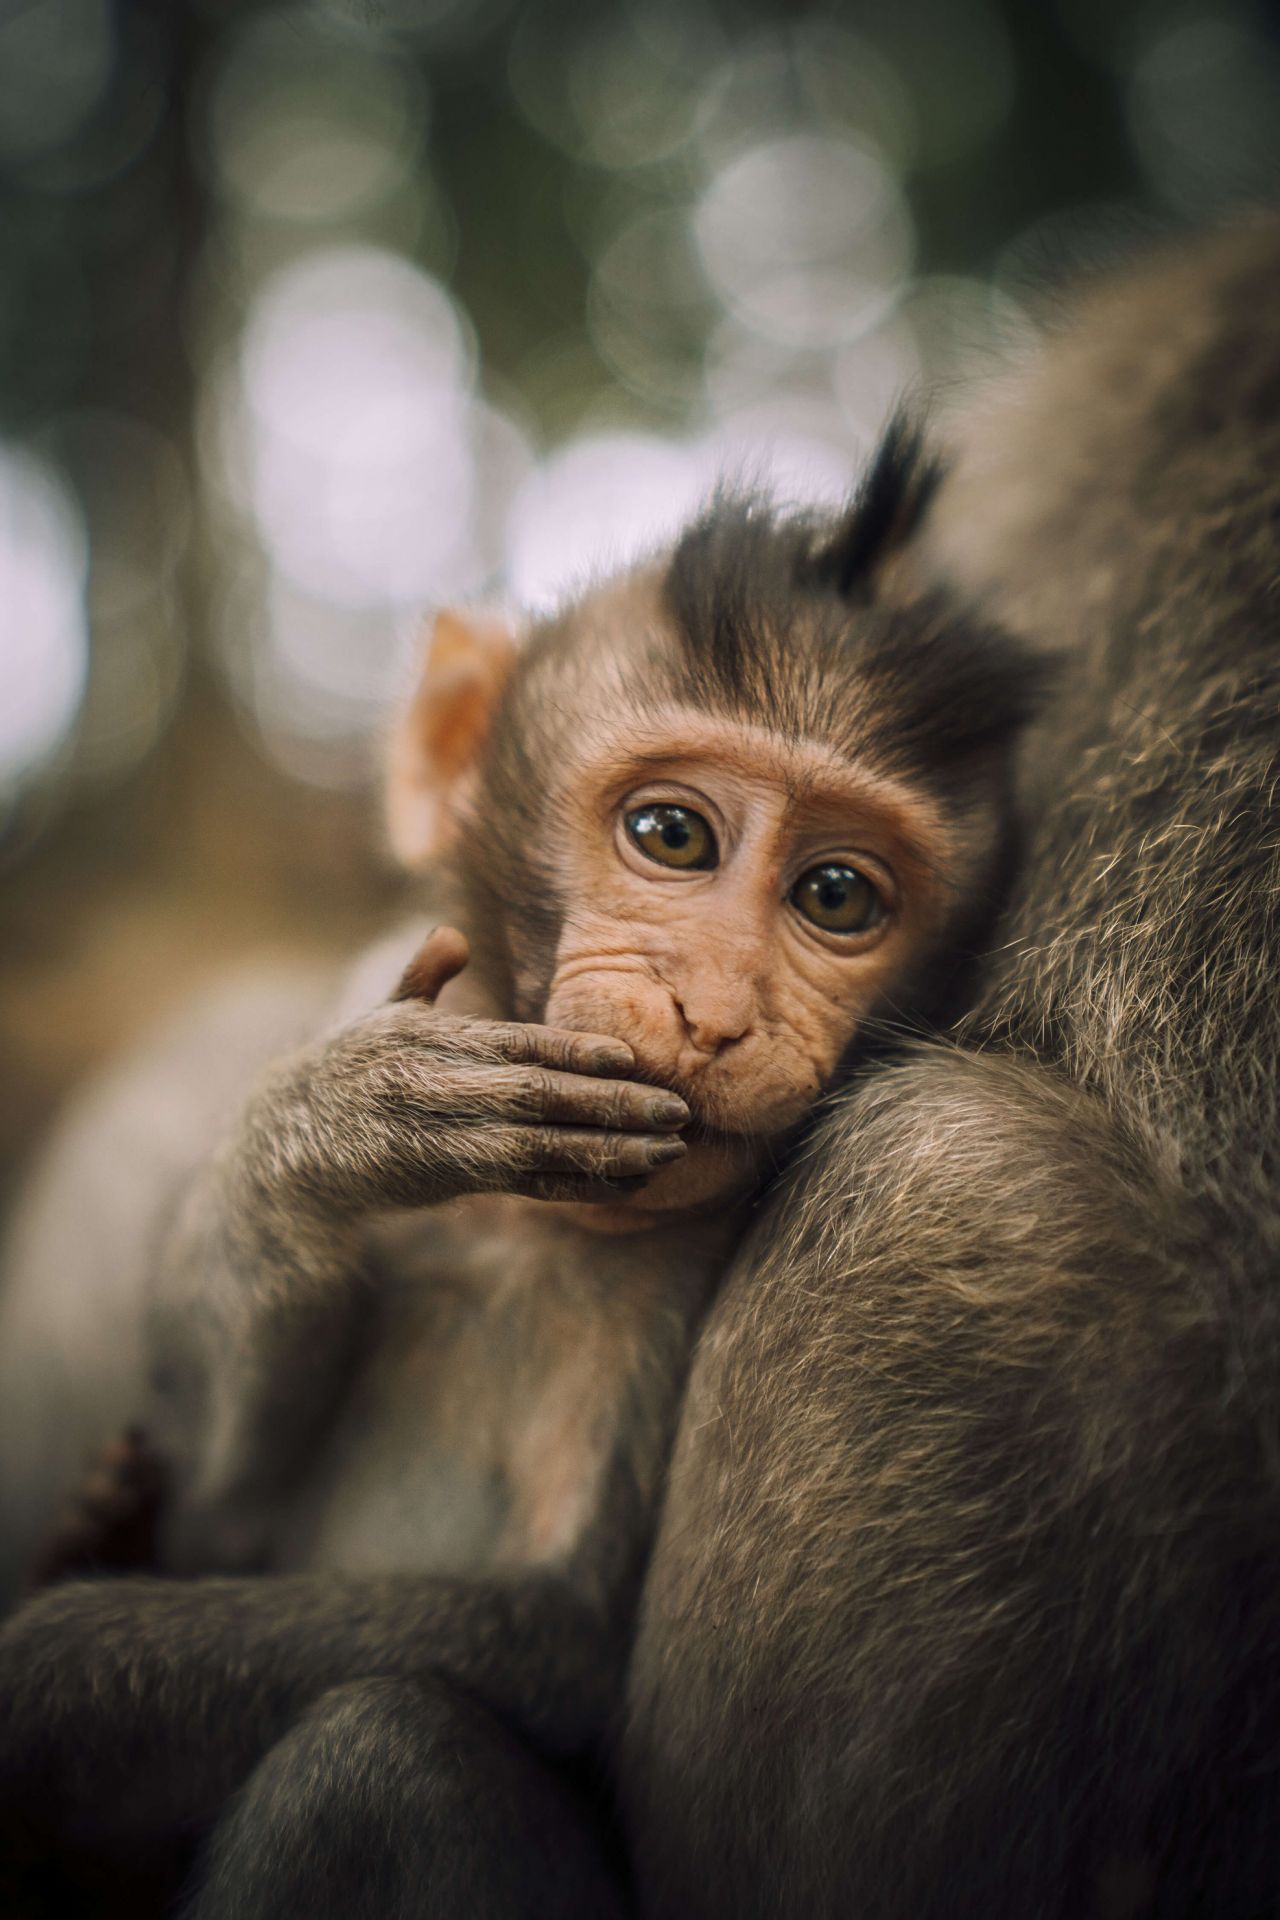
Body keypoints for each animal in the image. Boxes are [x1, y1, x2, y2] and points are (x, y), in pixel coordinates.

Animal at [0, 420, 1044, 1917]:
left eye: (837, 896)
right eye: (672, 836)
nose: (714, 1015)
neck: (519, 1217)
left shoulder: (678, 1279)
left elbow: (560, 1645)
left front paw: (49, 1678)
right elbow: (219, 1513)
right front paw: (337, 1127)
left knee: (391, 1753)